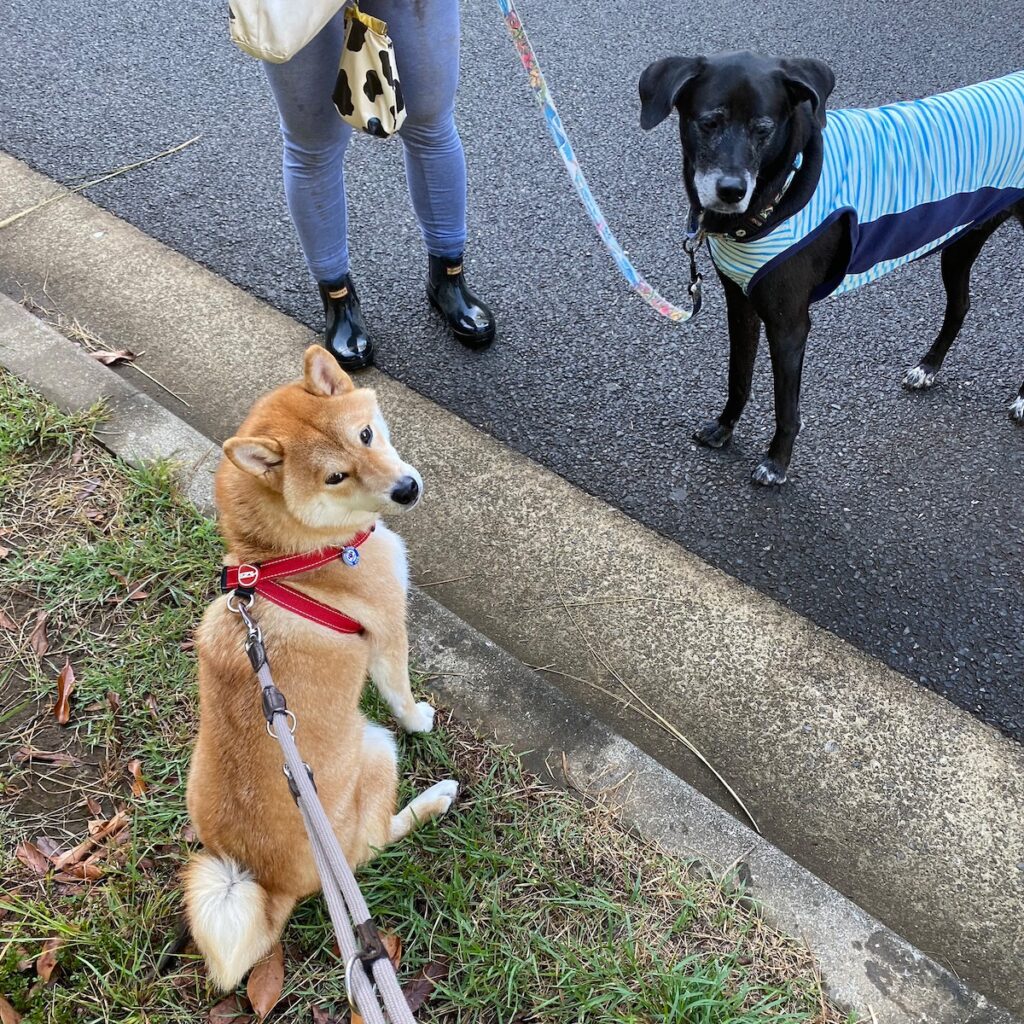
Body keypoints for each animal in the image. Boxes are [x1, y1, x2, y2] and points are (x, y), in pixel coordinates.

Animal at [182, 348, 458, 987]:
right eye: (336, 477)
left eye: (366, 435)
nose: (406, 489)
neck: (287, 558)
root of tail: (271, 879)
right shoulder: (389, 630)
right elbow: (401, 695)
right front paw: (422, 717)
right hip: (375, 747)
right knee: (375, 843)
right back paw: (436, 798)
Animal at [638, 54, 1024, 485]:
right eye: (708, 123)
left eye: (763, 130)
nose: (732, 191)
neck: (782, 189)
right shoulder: (740, 303)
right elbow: (739, 376)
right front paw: (724, 428)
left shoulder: (789, 325)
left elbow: (786, 407)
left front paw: (776, 462)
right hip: (962, 242)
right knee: (960, 306)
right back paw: (928, 368)